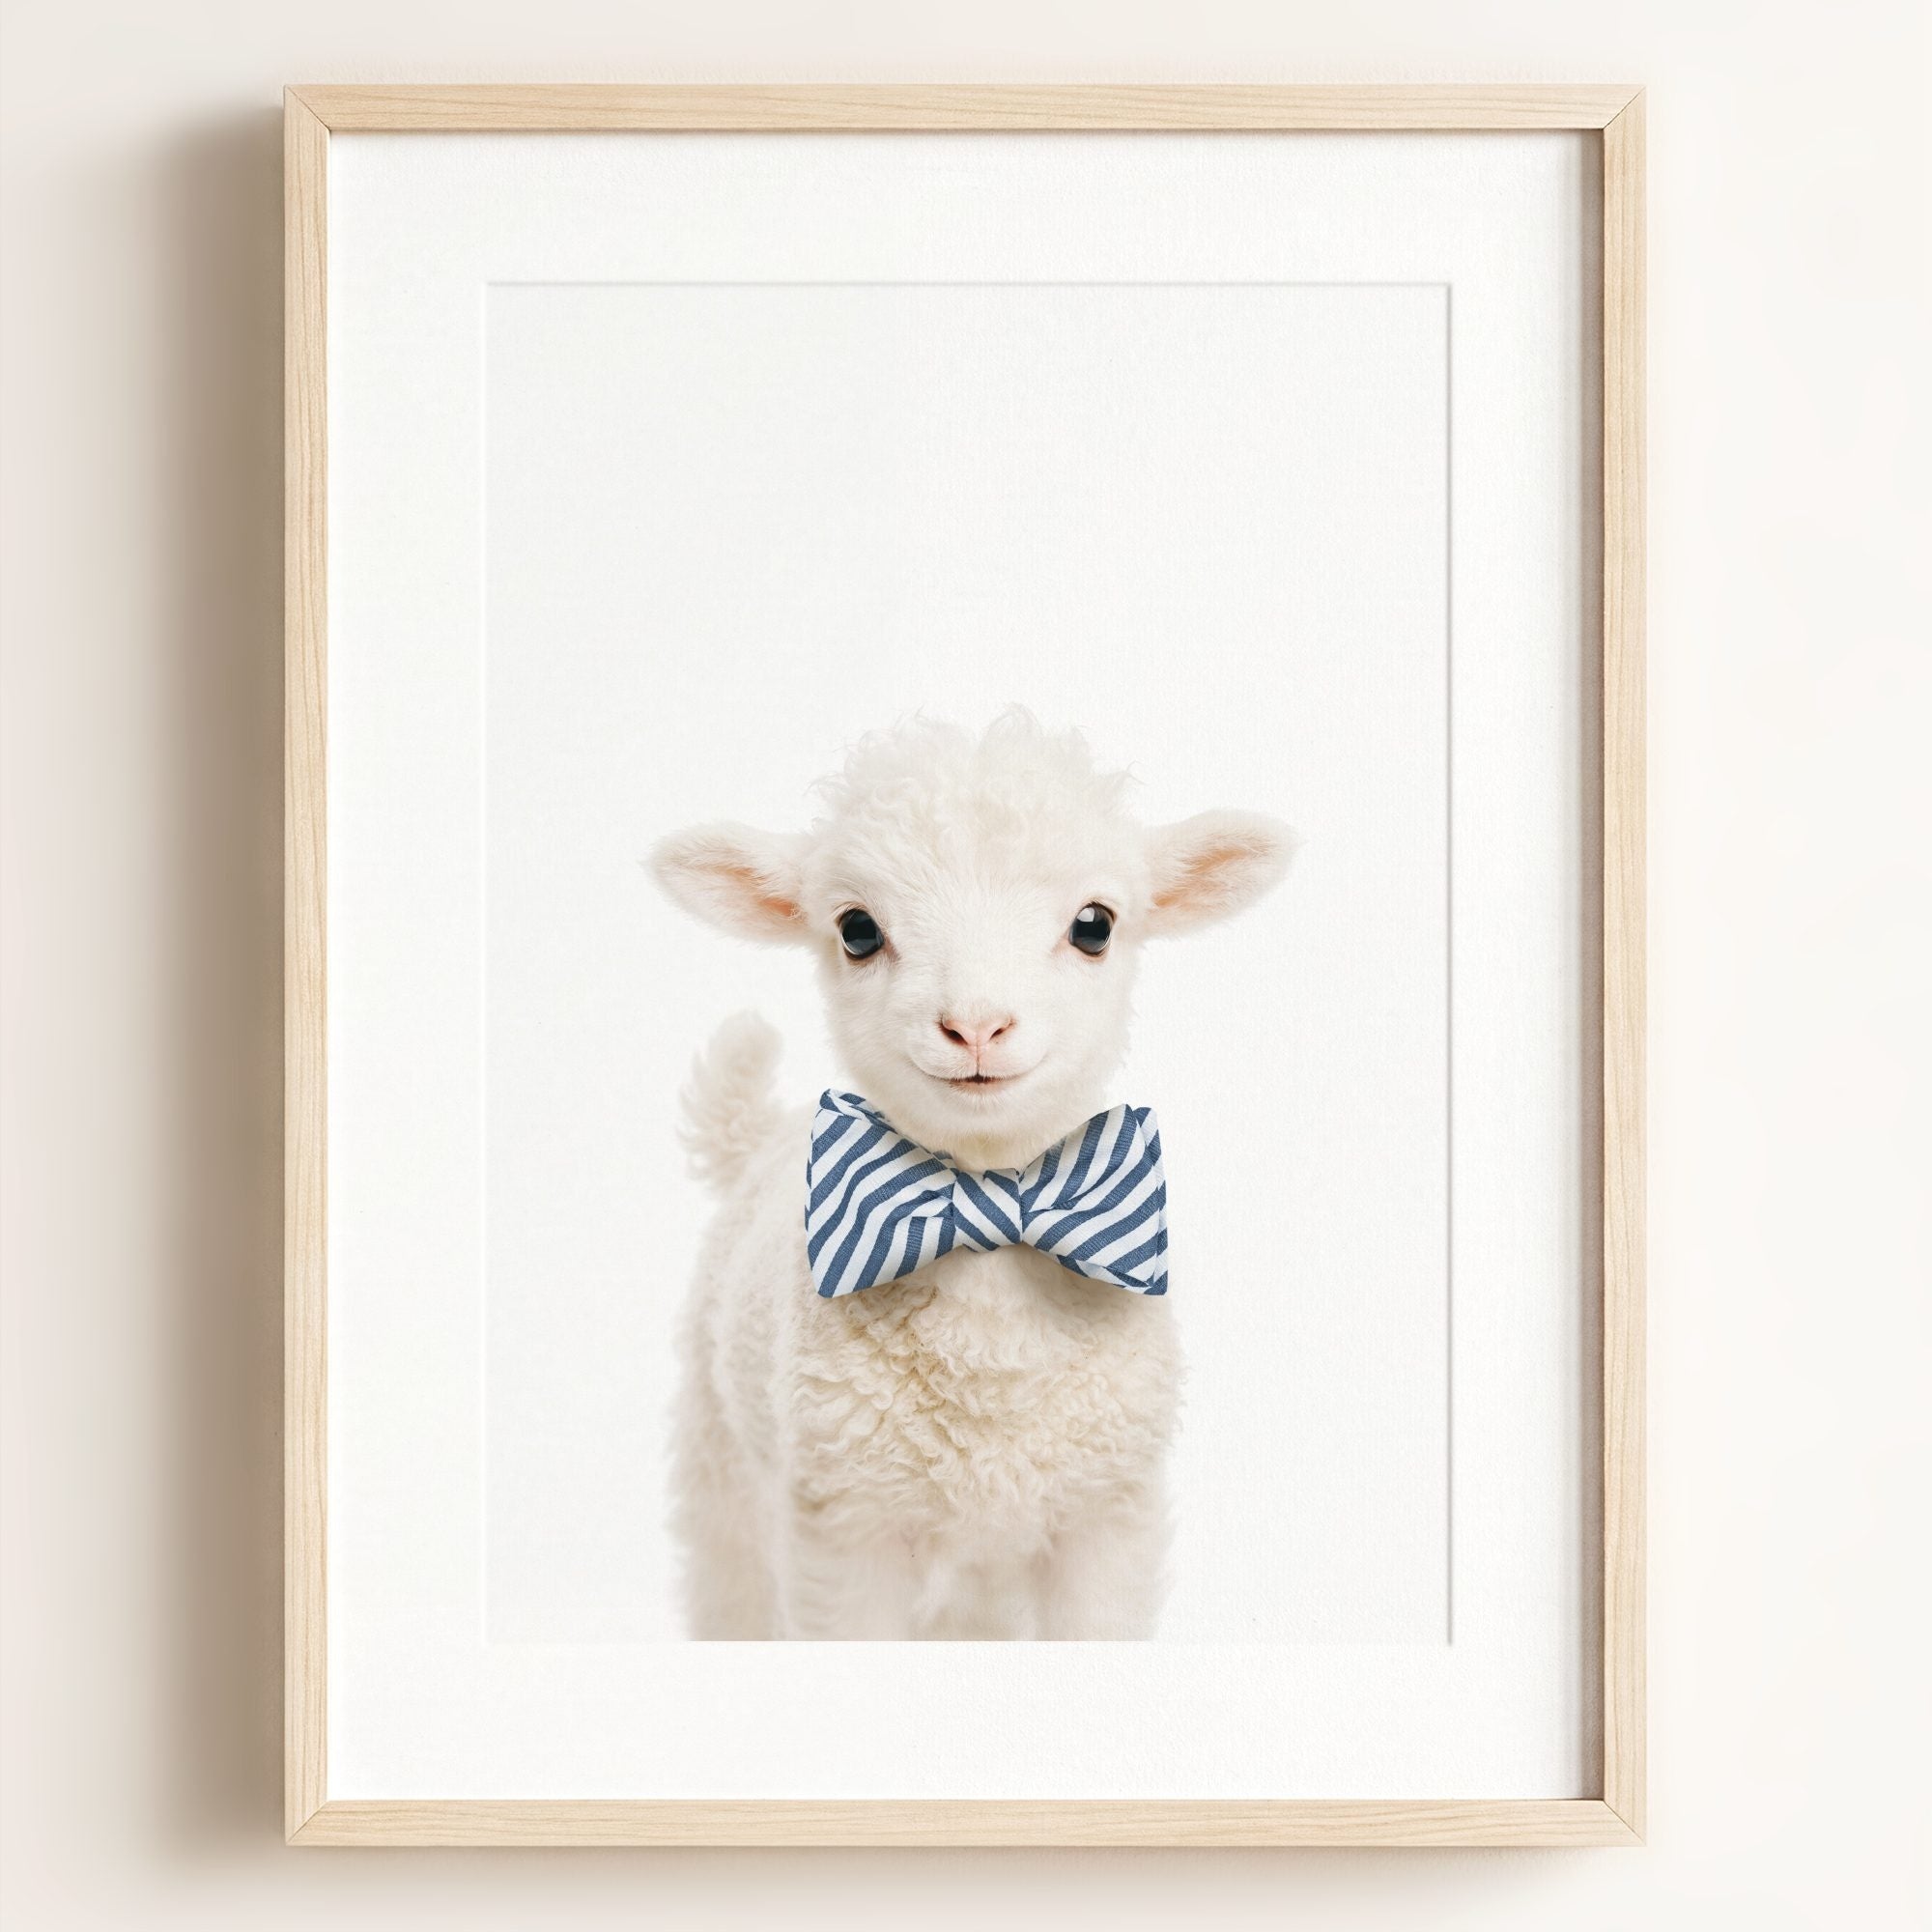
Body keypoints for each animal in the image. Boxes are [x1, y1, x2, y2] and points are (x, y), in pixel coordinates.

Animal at [650, 710, 1292, 1639]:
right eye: (857, 930)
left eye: (1095, 925)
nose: (977, 1025)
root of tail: (758, 1137)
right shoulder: (845, 1529)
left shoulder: (1107, 1517)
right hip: (724, 1467)